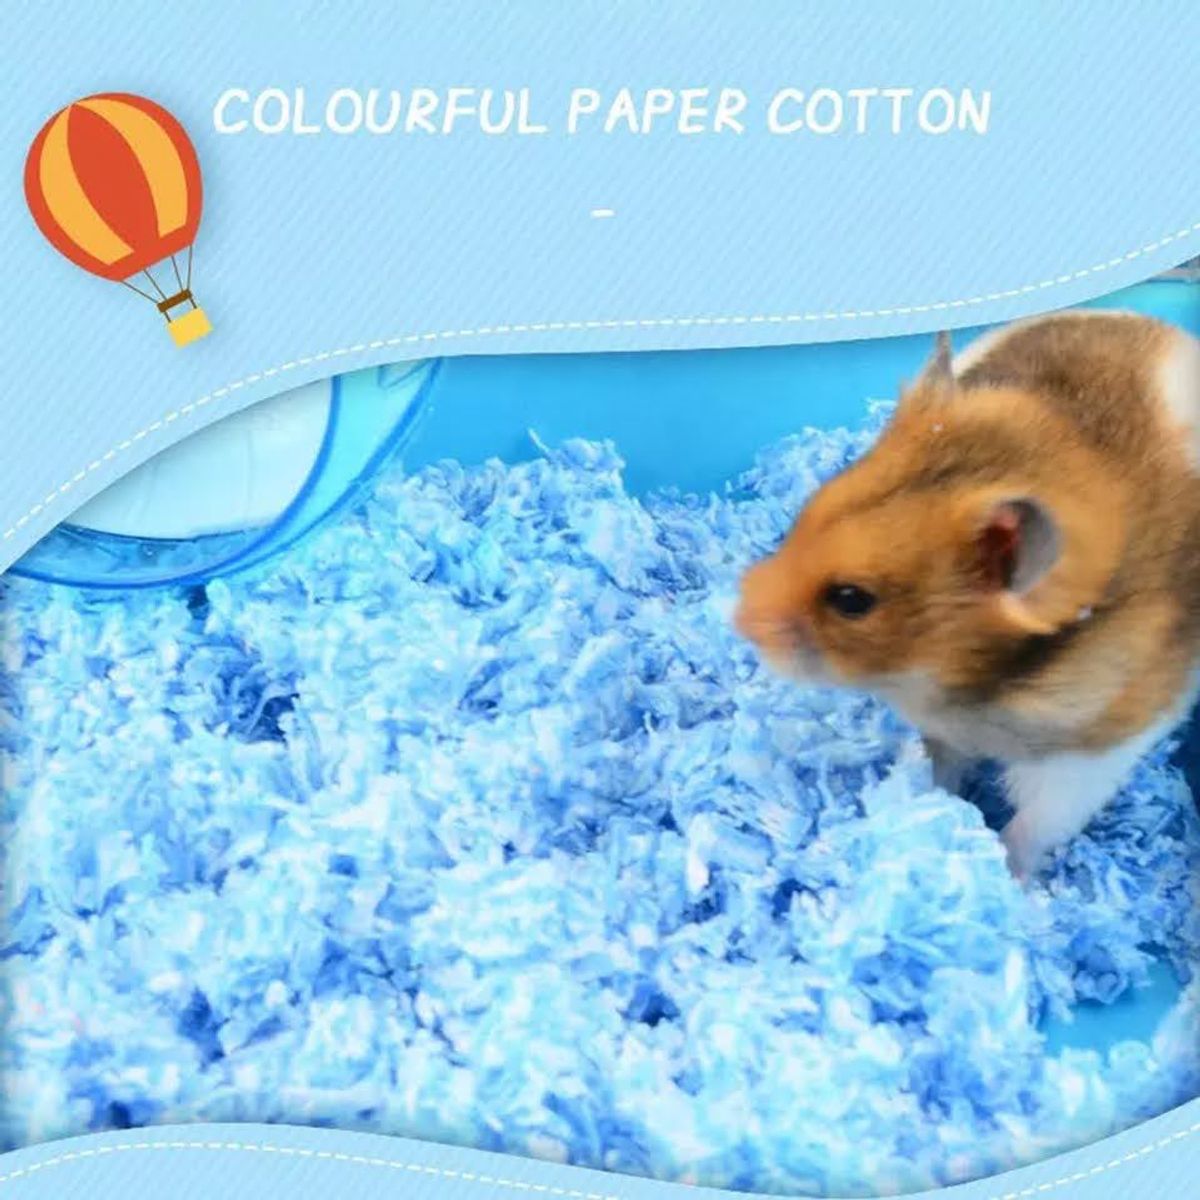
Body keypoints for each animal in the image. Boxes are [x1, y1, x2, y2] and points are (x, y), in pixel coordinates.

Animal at [735, 309, 1200, 880]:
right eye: (803, 517)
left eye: (850, 600)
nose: (738, 616)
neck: (964, 687)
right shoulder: (939, 732)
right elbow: (937, 775)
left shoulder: (1088, 762)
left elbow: (1031, 828)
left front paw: (1008, 878)